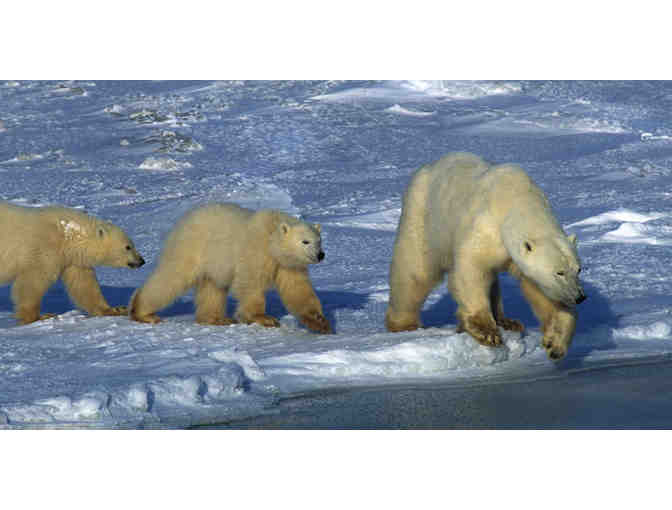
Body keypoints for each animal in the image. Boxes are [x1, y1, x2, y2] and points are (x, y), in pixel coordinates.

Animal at [0, 201, 145, 325]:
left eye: (132, 245)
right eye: (128, 247)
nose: (141, 261)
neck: (65, 234)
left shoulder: (72, 258)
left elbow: (83, 285)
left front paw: (114, 309)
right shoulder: (45, 249)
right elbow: (33, 281)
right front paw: (39, 317)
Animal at [129, 203, 332, 334]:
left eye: (319, 241)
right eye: (305, 241)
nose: (320, 255)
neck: (271, 237)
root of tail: (184, 219)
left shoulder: (289, 264)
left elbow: (297, 290)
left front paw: (320, 322)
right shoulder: (255, 251)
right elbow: (250, 283)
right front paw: (264, 318)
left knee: (212, 288)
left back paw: (217, 319)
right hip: (193, 247)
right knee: (172, 277)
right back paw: (143, 313)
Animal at [385, 152, 586, 360]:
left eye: (579, 269)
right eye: (559, 272)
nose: (580, 297)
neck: (516, 200)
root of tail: (428, 167)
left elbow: (541, 292)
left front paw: (555, 343)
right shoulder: (486, 227)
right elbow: (472, 269)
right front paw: (487, 333)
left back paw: (507, 322)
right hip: (423, 218)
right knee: (415, 271)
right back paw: (403, 324)